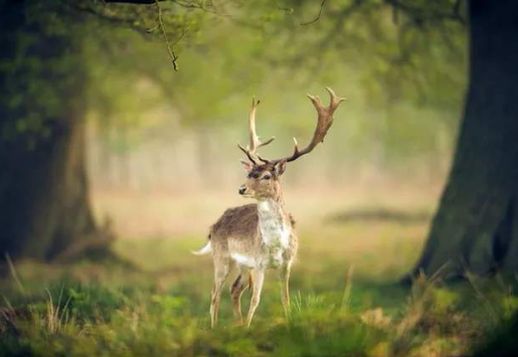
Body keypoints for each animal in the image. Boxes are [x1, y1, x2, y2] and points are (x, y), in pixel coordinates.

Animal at [193, 86, 348, 326]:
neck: (275, 246)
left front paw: (288, 322)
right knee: (214, 294)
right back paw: (215, 327)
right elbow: (255, 300)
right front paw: (248, 327)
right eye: (249, 174)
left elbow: (285, 299)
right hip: (221, 256)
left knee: (234, 289)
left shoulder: (287, 264)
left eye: (266, 176)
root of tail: (213, 226)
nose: (242, 189)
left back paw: (236, 325)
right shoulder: (260, 263)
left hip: (242, 264)